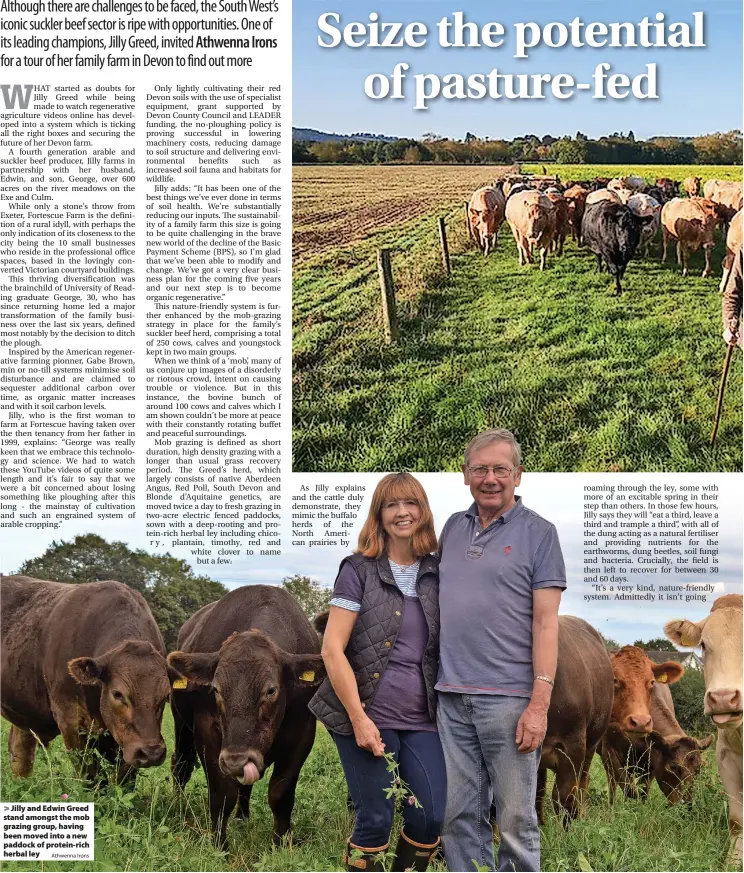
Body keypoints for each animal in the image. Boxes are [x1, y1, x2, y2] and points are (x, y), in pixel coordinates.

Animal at [169, 584, 326, 848]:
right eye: (216, 689)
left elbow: (280, 792)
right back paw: (177, 805)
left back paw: (242, 817)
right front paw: (219, 845)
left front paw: (281, 843)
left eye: (271, 690)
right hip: (180, 724)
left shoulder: (303, 731)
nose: (236, 761)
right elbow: (222, 794)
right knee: (180, 766)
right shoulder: (206, 731)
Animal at [596, 676, 712, 804]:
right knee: (612, 783)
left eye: (699, 768)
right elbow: (629, 789)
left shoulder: (651, 759)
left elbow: (643, 791)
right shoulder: (608, 749)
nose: (687, 803)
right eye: (673, 767)